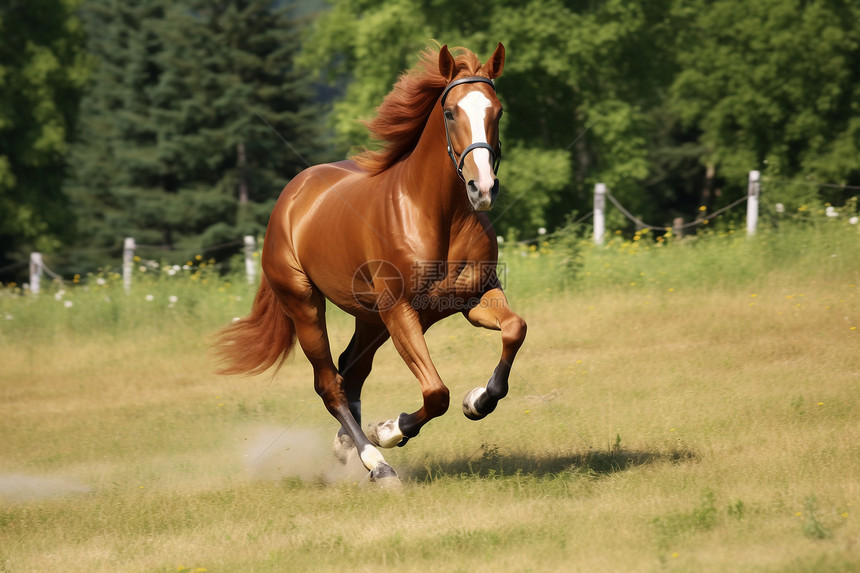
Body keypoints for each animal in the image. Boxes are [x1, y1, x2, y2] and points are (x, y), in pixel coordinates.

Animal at [215, 43, 524, 482]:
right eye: (451, 113)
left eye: (497, 111)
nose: (482, 189)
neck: (437, 215)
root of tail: (290, 198)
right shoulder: (400, 311)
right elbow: (436, 393)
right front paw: (390, 430)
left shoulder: (473, 299)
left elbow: (514, 331)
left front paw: (477, 401)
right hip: (306, 306)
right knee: (330, 383)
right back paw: (376, 463)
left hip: (371, 319)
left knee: (351, 371)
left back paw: (347, 445)